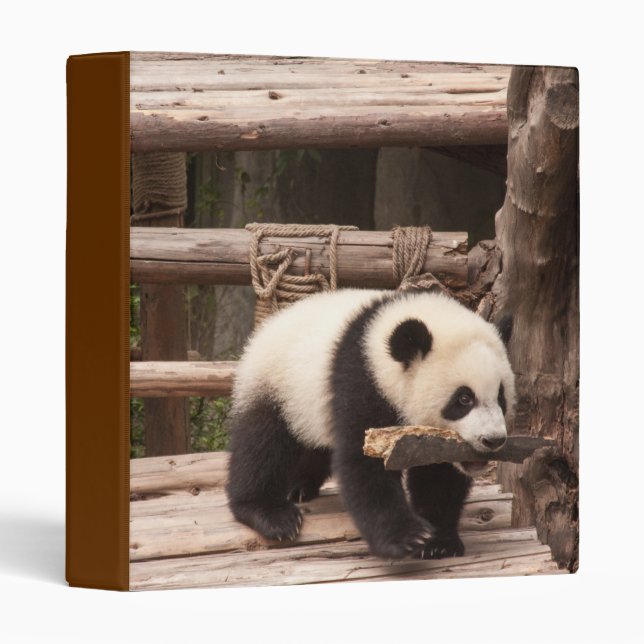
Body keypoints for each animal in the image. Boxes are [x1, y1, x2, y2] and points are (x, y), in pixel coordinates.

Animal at [226, 288, 515, 560]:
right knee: (261, 444)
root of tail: (271, 323)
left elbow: (439, 475)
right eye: (464, 399)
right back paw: (271, 514)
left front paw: (439, 542)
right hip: (274, 383)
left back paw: (300, 487)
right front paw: (405, 539)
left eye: (501, 396)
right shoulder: (362, 382)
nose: (493, 440)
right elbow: (364, 464)